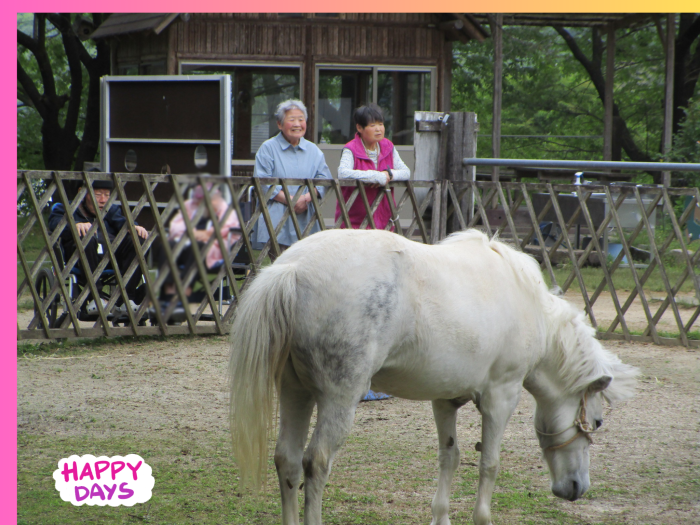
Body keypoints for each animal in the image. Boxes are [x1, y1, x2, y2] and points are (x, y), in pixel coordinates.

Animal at [228, 228, 639, 525]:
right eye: (597, 423)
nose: (577, 487)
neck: (530, 308)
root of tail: (294, 268)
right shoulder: (501, 397)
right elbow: (489, 464)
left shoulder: (445, 400)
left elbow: (450, 458)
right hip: (338, 400)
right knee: (316, 463)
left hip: (295, 392)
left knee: (287, 460)